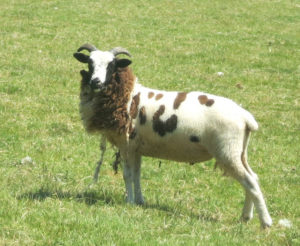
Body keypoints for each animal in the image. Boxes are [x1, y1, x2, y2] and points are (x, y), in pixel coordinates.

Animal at [72, 43, 272, 228]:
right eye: (90, 63)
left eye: (112, 65)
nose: (96, 82)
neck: (128, 96)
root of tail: (245, 117)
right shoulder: (136, 148)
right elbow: (137, 175)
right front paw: (139, 201)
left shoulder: (126, 145)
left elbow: (127, 175)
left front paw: (128, 202)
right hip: (239, 152)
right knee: (252, 178)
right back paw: (246, 217)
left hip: (227, 151)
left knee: (250, 182)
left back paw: (265, 222)